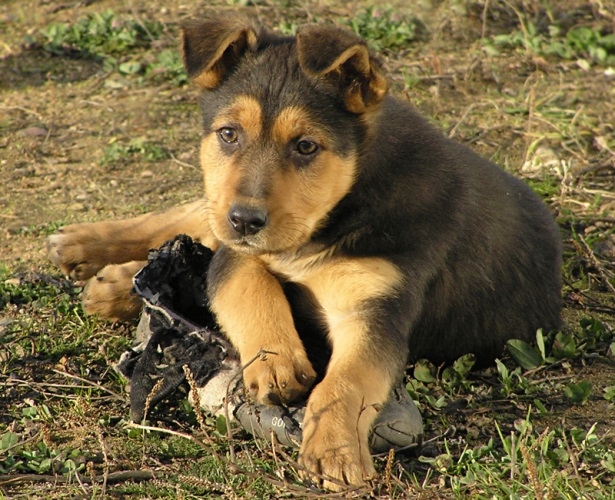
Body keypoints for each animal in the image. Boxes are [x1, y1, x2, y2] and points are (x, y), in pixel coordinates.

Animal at [47, 16, 564, 492]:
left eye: (306, 146)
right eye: (229, 134)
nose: (246, 220)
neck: (332, 215)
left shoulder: (376, 307)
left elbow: (345, 381)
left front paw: (334, 451)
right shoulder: (235, 252)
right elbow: (251, 284)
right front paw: (276, 363)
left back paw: (114, 283)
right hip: (215, 205)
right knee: (189, 215)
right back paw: (84, 250)